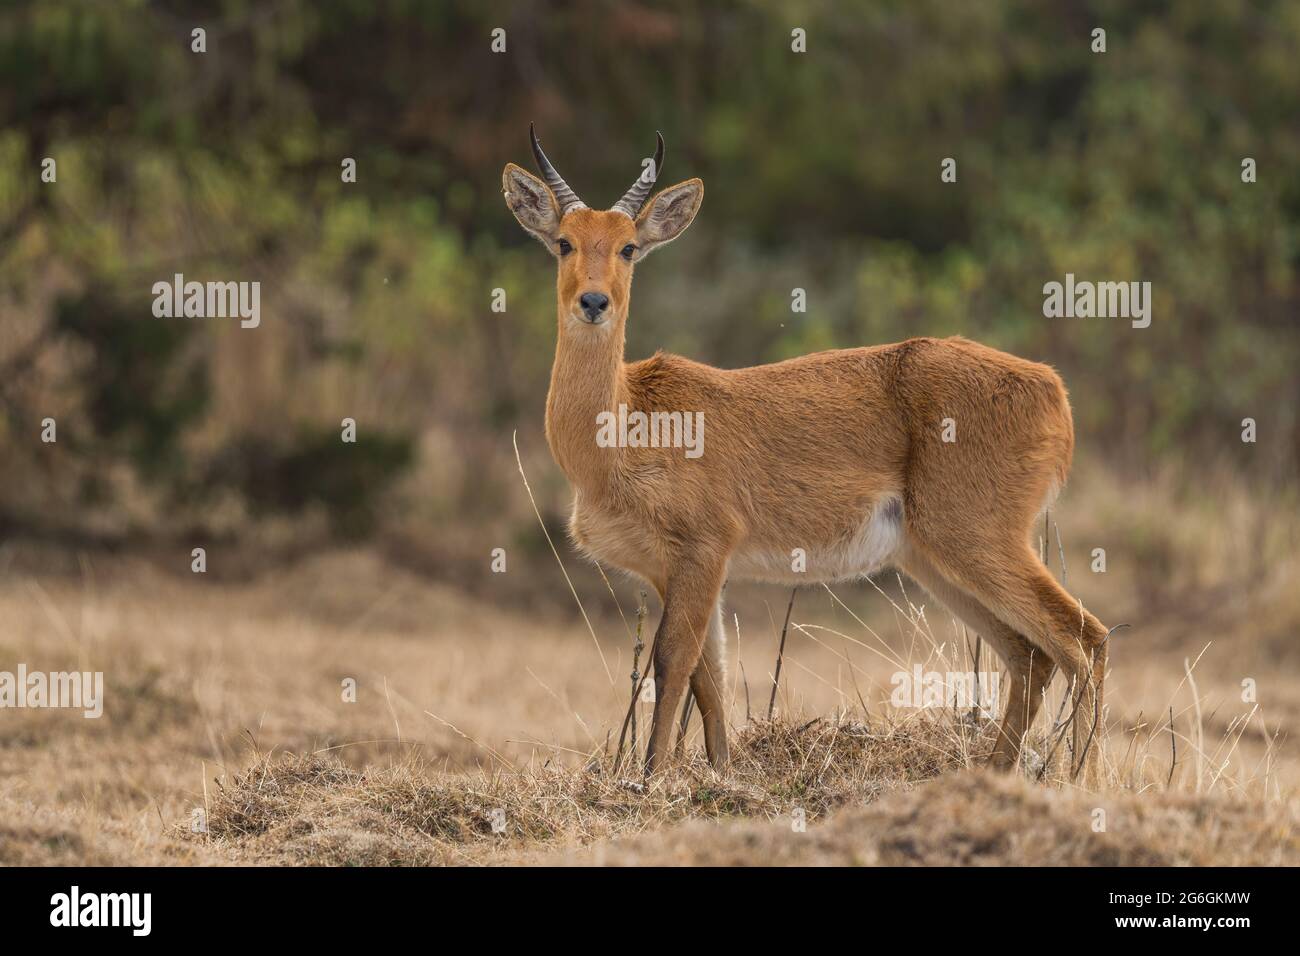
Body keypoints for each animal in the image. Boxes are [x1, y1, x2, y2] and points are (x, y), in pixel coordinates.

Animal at [501, 127, 1112, 785]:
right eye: (564, 242)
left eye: (629, 248)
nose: (593, 302)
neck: (625, 421)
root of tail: (1053, 388)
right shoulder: (675, 570)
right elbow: (709, 677)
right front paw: (723, 776)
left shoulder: (702, 551)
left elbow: (671, 660)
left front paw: (652, 777)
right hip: (931, 560)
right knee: (1030, 654)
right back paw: (993, 774)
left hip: (978, 541)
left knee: (1084, 638)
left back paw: (1083, 782)